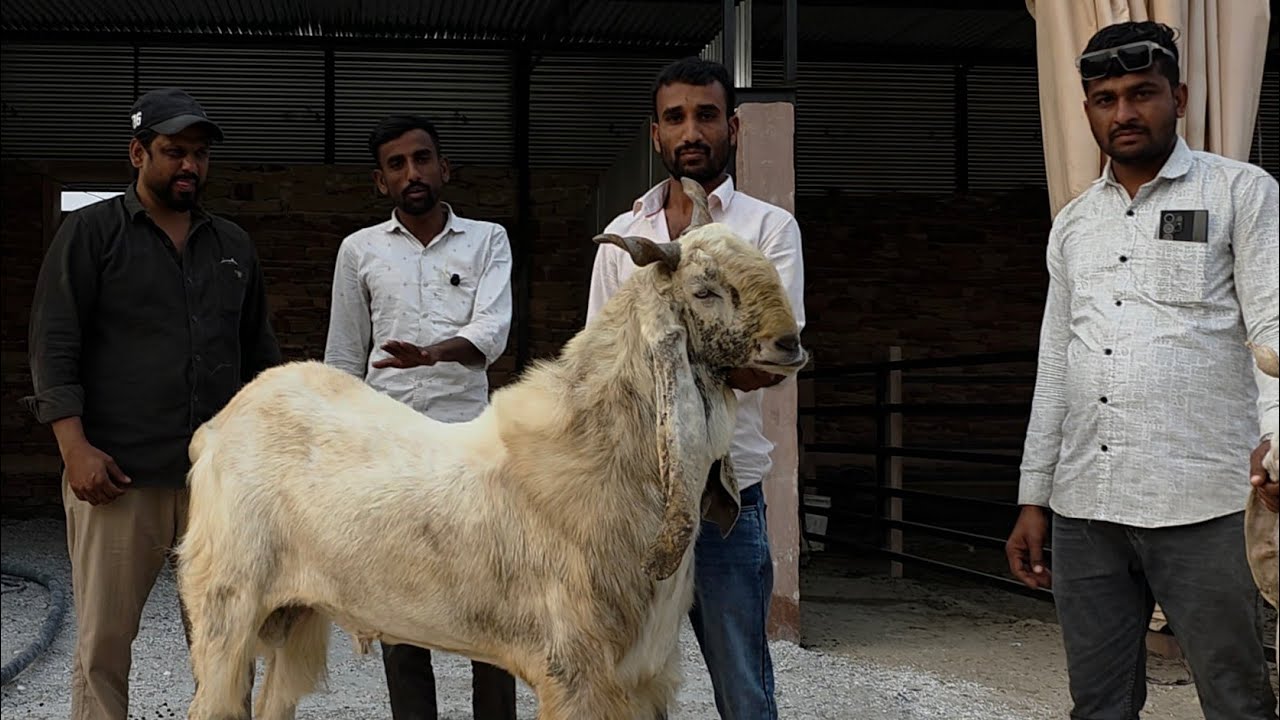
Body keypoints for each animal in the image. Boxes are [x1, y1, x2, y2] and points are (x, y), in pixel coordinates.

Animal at [175, 177, 808, 720]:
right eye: (704, 291)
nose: (790, 343)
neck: (600, 450)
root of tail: (217, 427)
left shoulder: (643, 672)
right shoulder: (579, 670)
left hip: (294, 615)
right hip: (225, 607)